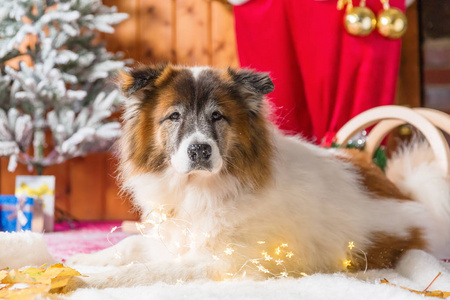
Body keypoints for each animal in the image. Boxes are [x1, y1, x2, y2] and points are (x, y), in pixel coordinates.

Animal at [67, 63, 450, 288]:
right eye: (174, 116)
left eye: (218, 116)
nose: (199, 150)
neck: (198, 189)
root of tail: (409, 194)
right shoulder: (174, 238)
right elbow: (129, 244)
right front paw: (80, 261)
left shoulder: (223, 261)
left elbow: (147, 271)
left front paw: (90, 281)